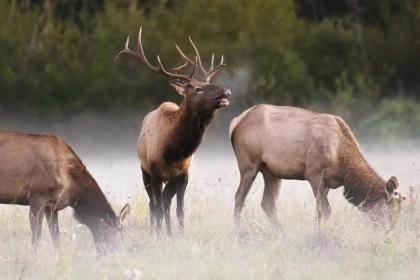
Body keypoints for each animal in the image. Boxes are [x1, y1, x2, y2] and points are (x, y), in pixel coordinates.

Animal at [0, 131, 130, 252]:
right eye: (116, 233)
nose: (116, 253)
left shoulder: (52, 206)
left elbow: (56, 237)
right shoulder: (37, 195)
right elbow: (36, 236)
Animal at [115, 27, 231, 235]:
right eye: (198, 88)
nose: (226, 91)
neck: (173, 151)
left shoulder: (183, 175)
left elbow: (180, 210)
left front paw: (179, 235)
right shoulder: (154, 172)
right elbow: (158, 207)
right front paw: (158, 235)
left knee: (166, 202)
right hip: (144, 171)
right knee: (154, 204)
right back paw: (156, 229)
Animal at [230, 104, 406, 231]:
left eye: (400, 211)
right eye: (389, 211)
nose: (391, 231)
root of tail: (236, 122)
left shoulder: (326, 182)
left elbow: (318, 213)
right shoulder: (314, 174)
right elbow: (326, 210)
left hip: (271, 172)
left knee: (267, 203)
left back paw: (282, 235)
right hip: (249, 165)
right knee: (239, 197)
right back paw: (238, 234)